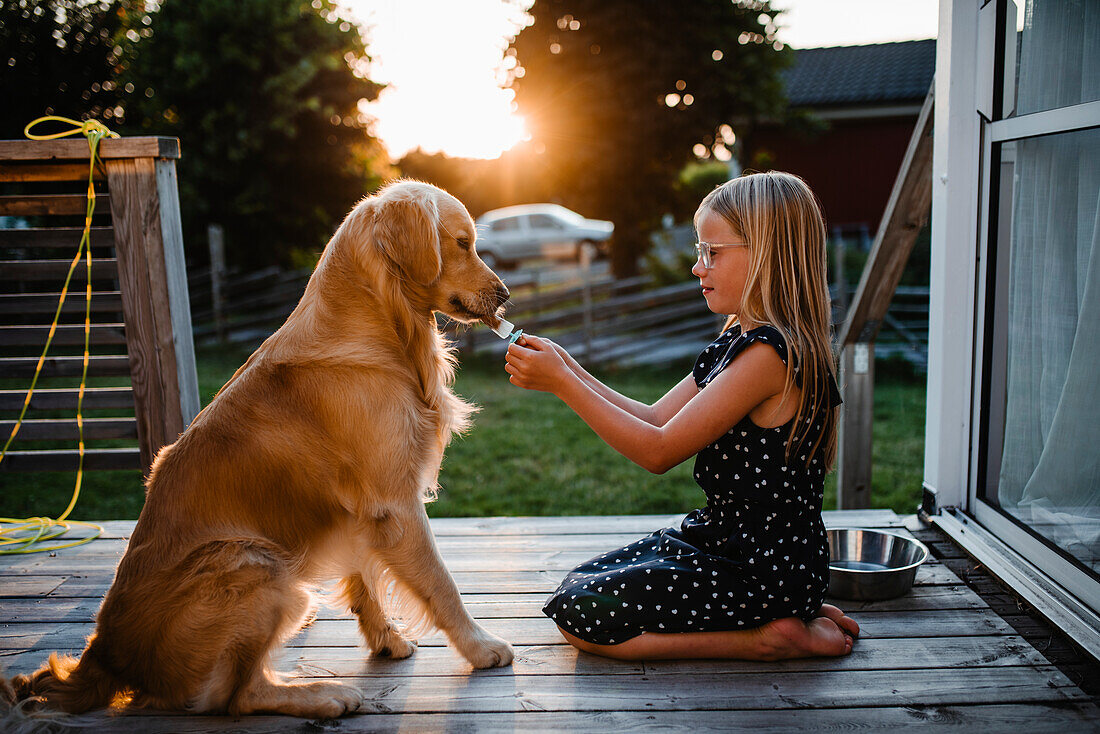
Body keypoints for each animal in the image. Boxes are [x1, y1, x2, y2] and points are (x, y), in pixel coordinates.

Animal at [8, 180, 514, 721]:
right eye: (462, 243)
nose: (506, 294)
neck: (378, 322)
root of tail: (103, 653)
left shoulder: (357, 507)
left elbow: (365, 578)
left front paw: (386, 640)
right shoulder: (394, 502)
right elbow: (442, 583)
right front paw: (480, 647)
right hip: (256, 564)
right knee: (237, 696)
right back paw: (324, 695)